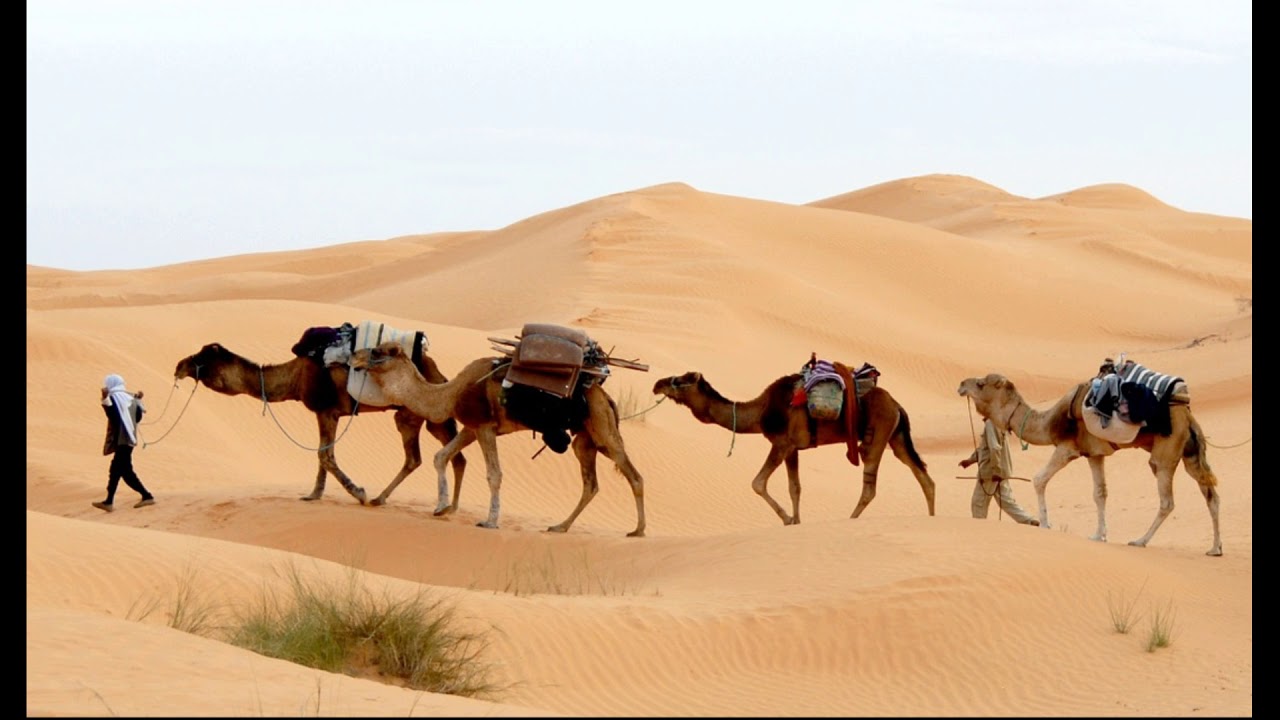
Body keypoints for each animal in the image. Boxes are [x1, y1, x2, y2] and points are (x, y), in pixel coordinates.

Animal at [173, 342, 467, 506]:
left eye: (202, 358)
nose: (179, 365)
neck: (295, 376)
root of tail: (438, 373)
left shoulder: (327, 411)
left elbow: (324, 455)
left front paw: (358, 492)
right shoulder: (327, 413)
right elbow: (323, 454)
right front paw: (314, 494)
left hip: (414, 413)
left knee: (423, 457)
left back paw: (383, 499)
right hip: (424, 416)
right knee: (444, 457)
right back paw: (441, 506)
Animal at [347, 341, 647, 537]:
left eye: (377, 351)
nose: (353, 357)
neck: (450, 393)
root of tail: (605, 397)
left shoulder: (485, 427)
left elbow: (494, 474)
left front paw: (489, 522)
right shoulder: (471, 428)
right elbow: (440, 456)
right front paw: (442, 507)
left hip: (602, 429)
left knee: (633, 475)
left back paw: (638, 530)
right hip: (584, 439)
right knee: (590, 483)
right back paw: (560, 526)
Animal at [652, 369, 936, 525]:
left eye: (683, 379)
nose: (658, 384)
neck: (760, 412)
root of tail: (897, 405)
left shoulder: (780, 443)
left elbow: (758, 483)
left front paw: (788, 519)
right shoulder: (793, 449)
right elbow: (795, 488)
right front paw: (796, 520)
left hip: (879, 434)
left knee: (870, 486)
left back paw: (850, 519)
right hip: (896, 436)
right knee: (924, 477)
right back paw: (932, 518)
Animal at [956, 373, 1222, 556]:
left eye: (981, 384)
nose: (961, 384)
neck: (1049, 421)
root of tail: (1187, 414)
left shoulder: (1067, 448)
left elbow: (1039, 479)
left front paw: (1045, 524)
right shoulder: (1094, 454)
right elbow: (1100, 493)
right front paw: (1099, 535)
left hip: (1166, 451)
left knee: (1167, 500)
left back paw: (1140, 541)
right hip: (1190, 452)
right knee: (1211, 494)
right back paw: (1215, 548)